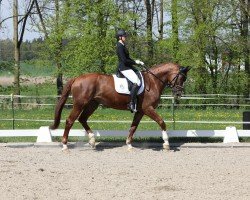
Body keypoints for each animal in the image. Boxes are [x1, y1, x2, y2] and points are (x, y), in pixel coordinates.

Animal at [49, 62, 189, 150]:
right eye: (181, 77)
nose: (179, 94)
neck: (153, 81)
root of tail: (77, 78)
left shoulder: (140, 111)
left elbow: (133, 127)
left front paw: (129, 144)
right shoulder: (148, 108)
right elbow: (161, 122)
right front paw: (166, 143)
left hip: (92, 104)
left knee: (82, 119)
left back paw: (92, 141)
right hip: (79, 104)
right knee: (70, 121)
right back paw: (65, 145)